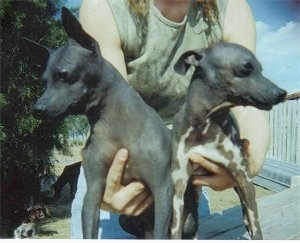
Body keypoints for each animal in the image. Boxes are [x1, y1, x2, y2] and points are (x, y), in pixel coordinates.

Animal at [31, 8, 172, 239]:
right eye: (44, 82)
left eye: (64, 75)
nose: (37, 109)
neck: (116, 126)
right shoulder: (93, 192)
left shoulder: (162, 190)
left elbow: (163, 231)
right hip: (127, 220)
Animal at [171, 43, 286, 239]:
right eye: (246, 68)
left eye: (261, 69)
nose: (281, 93)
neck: (207, 124)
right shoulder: (179, 186)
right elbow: (174, 230)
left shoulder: (244, 180)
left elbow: (256, 225)